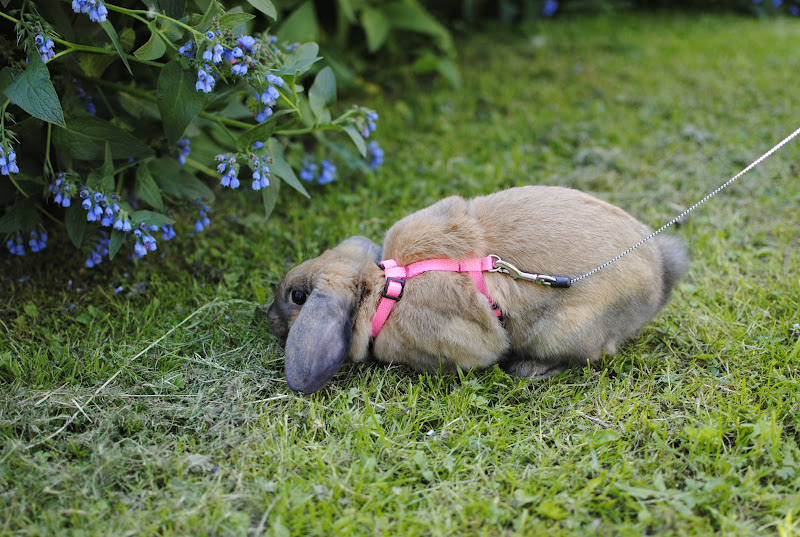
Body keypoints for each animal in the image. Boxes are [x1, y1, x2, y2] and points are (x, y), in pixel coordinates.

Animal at [268, 185, 688, 394]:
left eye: (297, 297)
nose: (268, 318)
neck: (385, 288)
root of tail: (661, 278)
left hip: (563, 331)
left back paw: (527, 370)